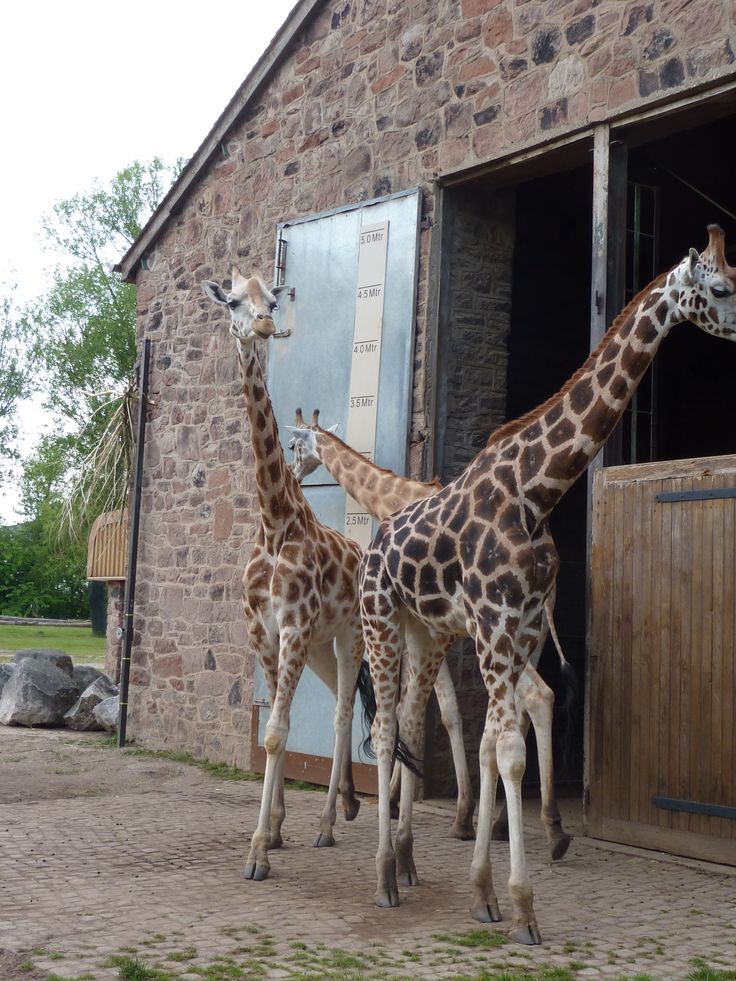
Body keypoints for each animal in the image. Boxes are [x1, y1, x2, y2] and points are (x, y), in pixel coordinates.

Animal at [203, 270, 368, 880]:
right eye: (232, 301)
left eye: (271, 298)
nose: (265, 324)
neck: (275, 520)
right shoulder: (264, 632)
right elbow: (280, 725)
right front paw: (272, 832)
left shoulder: (294, 627)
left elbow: (274, 733)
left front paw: (257, 852)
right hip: (320, 647)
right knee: (340, 709)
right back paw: (338, 812)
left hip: (348, 637)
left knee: (344, 716)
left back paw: (326, 825)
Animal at [288, 406, 576, 856]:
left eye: (293, 445)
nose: (293, 473)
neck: (392, 496)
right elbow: (418, 708)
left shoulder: (431, 629)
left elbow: (440, 712)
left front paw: (453, 814)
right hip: (532, 634)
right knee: (526, 706)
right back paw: (513, 824)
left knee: (537, 696)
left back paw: (548, 827)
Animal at [358, 228, 736, 940]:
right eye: (723, 288)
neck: (537, 489)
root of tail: (371, 545)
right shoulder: (496, 624)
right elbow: (509, 752)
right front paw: (523, 906)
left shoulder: (525, 627)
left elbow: (492, 745)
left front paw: (484, 893)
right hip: (381, 623)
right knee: (388, 730)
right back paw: (385, 879)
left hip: (426, 633)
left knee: (411, 724)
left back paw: (403, 865)